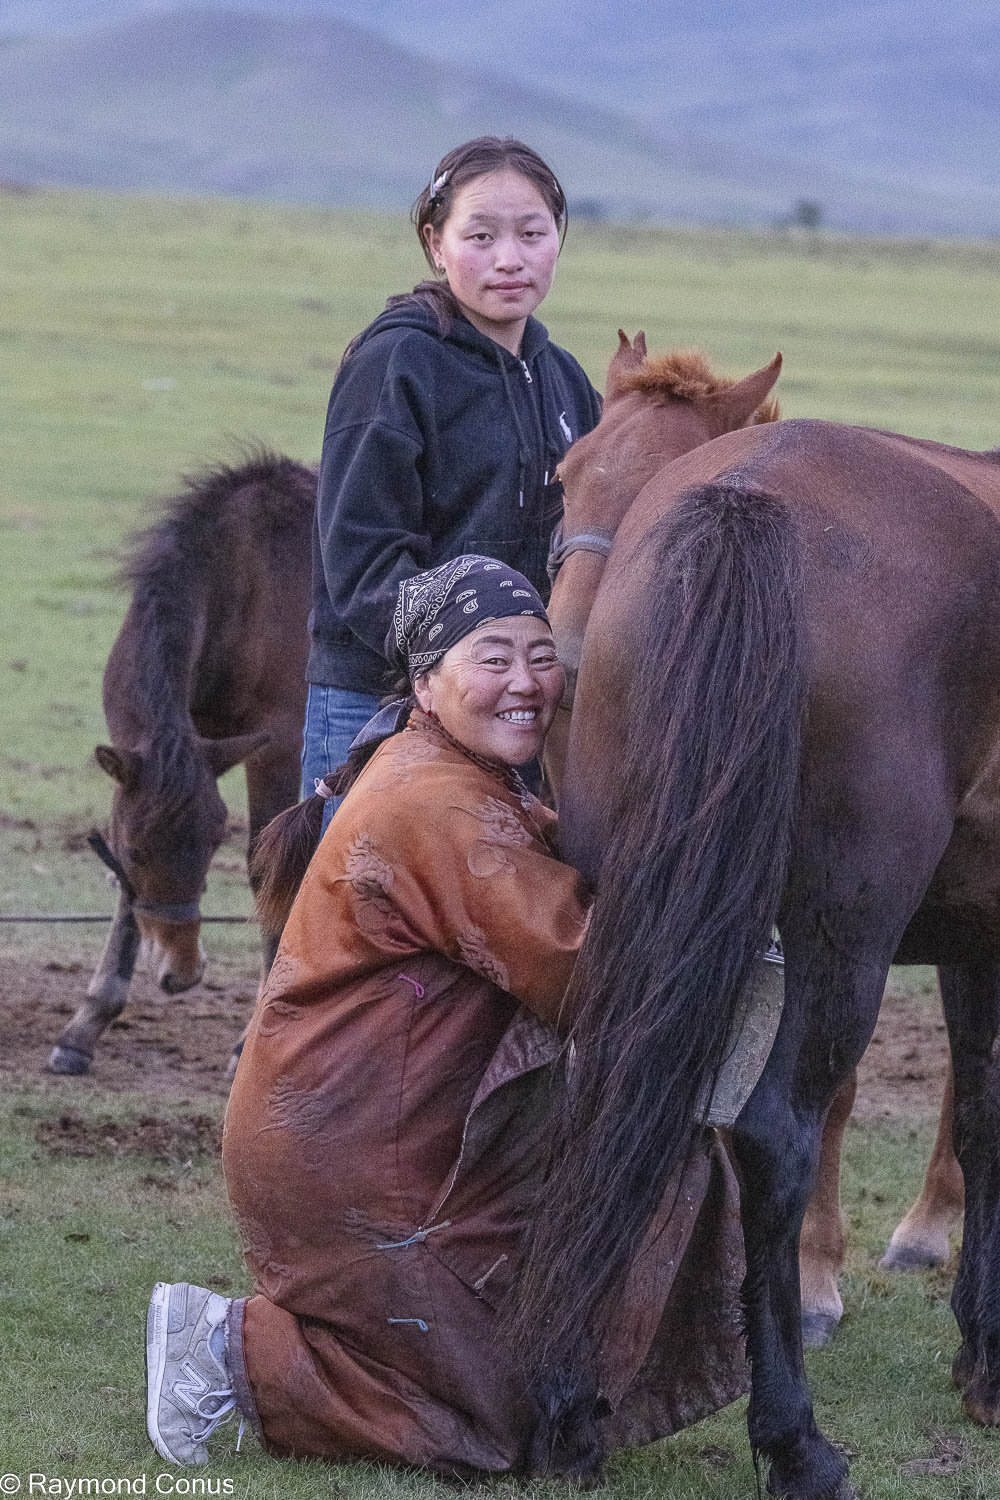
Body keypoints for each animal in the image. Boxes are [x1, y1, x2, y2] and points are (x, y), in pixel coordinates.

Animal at [46, 452, 316, 1077]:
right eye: (141, 852)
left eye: (213, 843)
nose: (183, 973)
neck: (244, 584)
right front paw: (86, 1024)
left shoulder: (278, 747)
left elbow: (269, 866)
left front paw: (249, 1043)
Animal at [515, 334, 1000, 1496]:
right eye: (565, 478)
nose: (559, 663)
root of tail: (745, 501)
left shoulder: (973, 936)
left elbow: (977, 1112)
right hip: (835, 943)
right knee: (775, 1133)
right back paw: (795, 1439)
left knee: (608, 1090)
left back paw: (567, 1403)